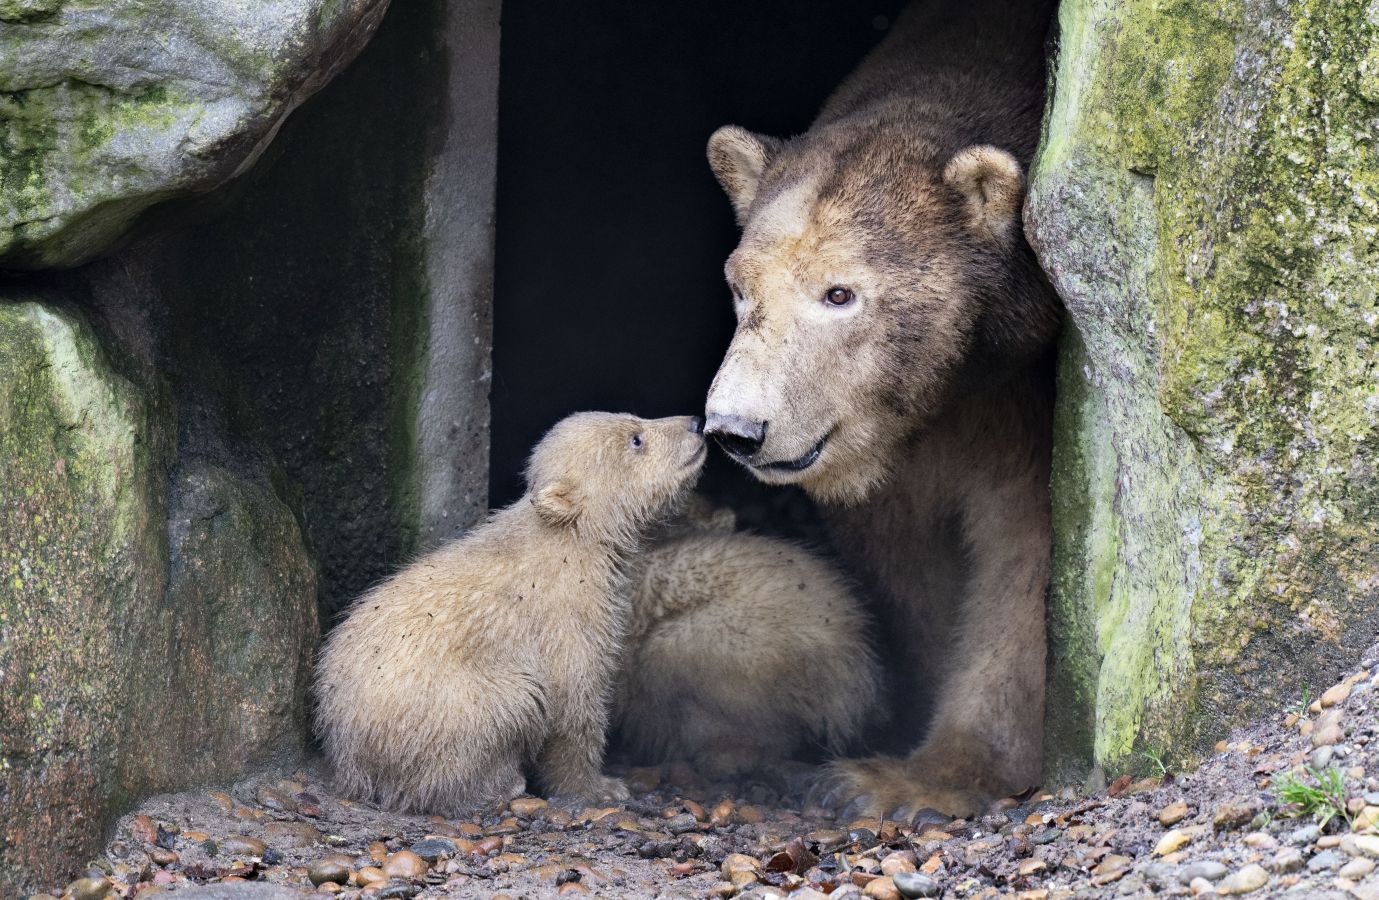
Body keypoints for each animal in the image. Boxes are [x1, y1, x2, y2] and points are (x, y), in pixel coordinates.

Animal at [706, 0, 1059, 815]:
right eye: (740, 287)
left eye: (840, 293)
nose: (737, 429)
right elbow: (909, 564)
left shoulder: (1023, 398)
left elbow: (1022, 557)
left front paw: (918, 781)